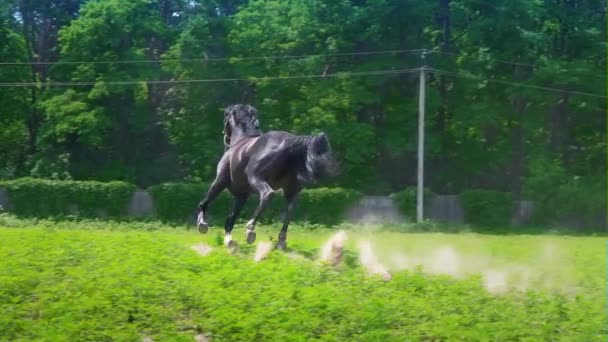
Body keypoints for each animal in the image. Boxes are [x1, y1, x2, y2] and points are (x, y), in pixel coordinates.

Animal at [196, 103, 338, 250]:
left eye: (225, 118)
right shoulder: (242, 195)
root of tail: (291, 141)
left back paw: (250, 229)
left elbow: (204, 202)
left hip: (256, 178)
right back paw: (281, 240)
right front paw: (229, 242)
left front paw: (202, 224)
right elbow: (231, 219)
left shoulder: (220, 180)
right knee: (290, 209)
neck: (241, 140)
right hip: (291, 188)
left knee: (267, 194)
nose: (226, 139)